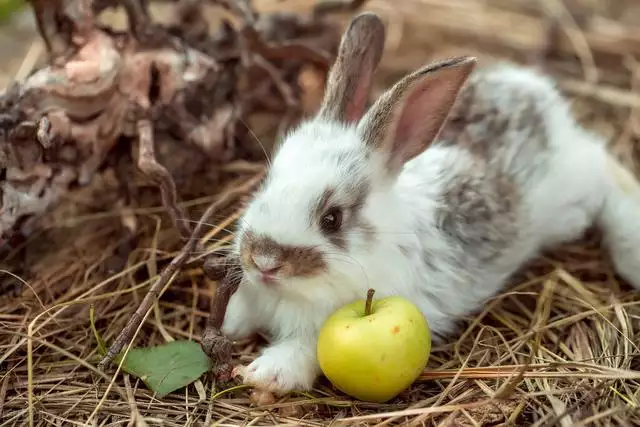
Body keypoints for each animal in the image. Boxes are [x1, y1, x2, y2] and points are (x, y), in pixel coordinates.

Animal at [219, 11, 640, 396]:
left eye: (332, 219)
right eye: (266, 183)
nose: (264, 261)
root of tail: (539, 95)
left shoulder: (318, 329)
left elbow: (300, 351)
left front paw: (263, 376)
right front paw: (230, 327)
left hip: (576, 190)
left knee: (608, 171)